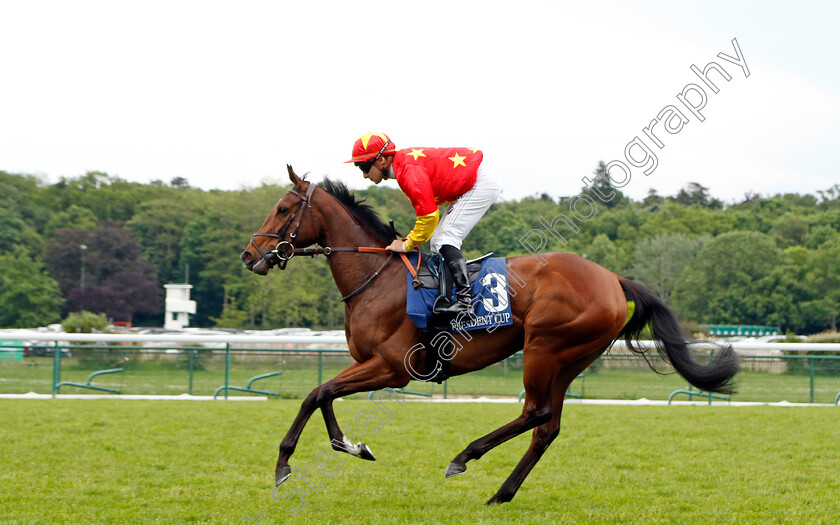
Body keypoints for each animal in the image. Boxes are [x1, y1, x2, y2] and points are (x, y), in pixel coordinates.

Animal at [240, 167, 740, 504]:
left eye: (283, 208)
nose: (249, 255)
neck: (377, 278)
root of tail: (613, 279)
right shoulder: (367, 363)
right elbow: (323, 394)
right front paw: (351, 445)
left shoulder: (392, 368)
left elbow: (316, 393)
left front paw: (284, 465)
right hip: (571, 359)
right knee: (547, 426)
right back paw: (502, 492)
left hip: (544, 346)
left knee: (535, 412)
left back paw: (465, 456)